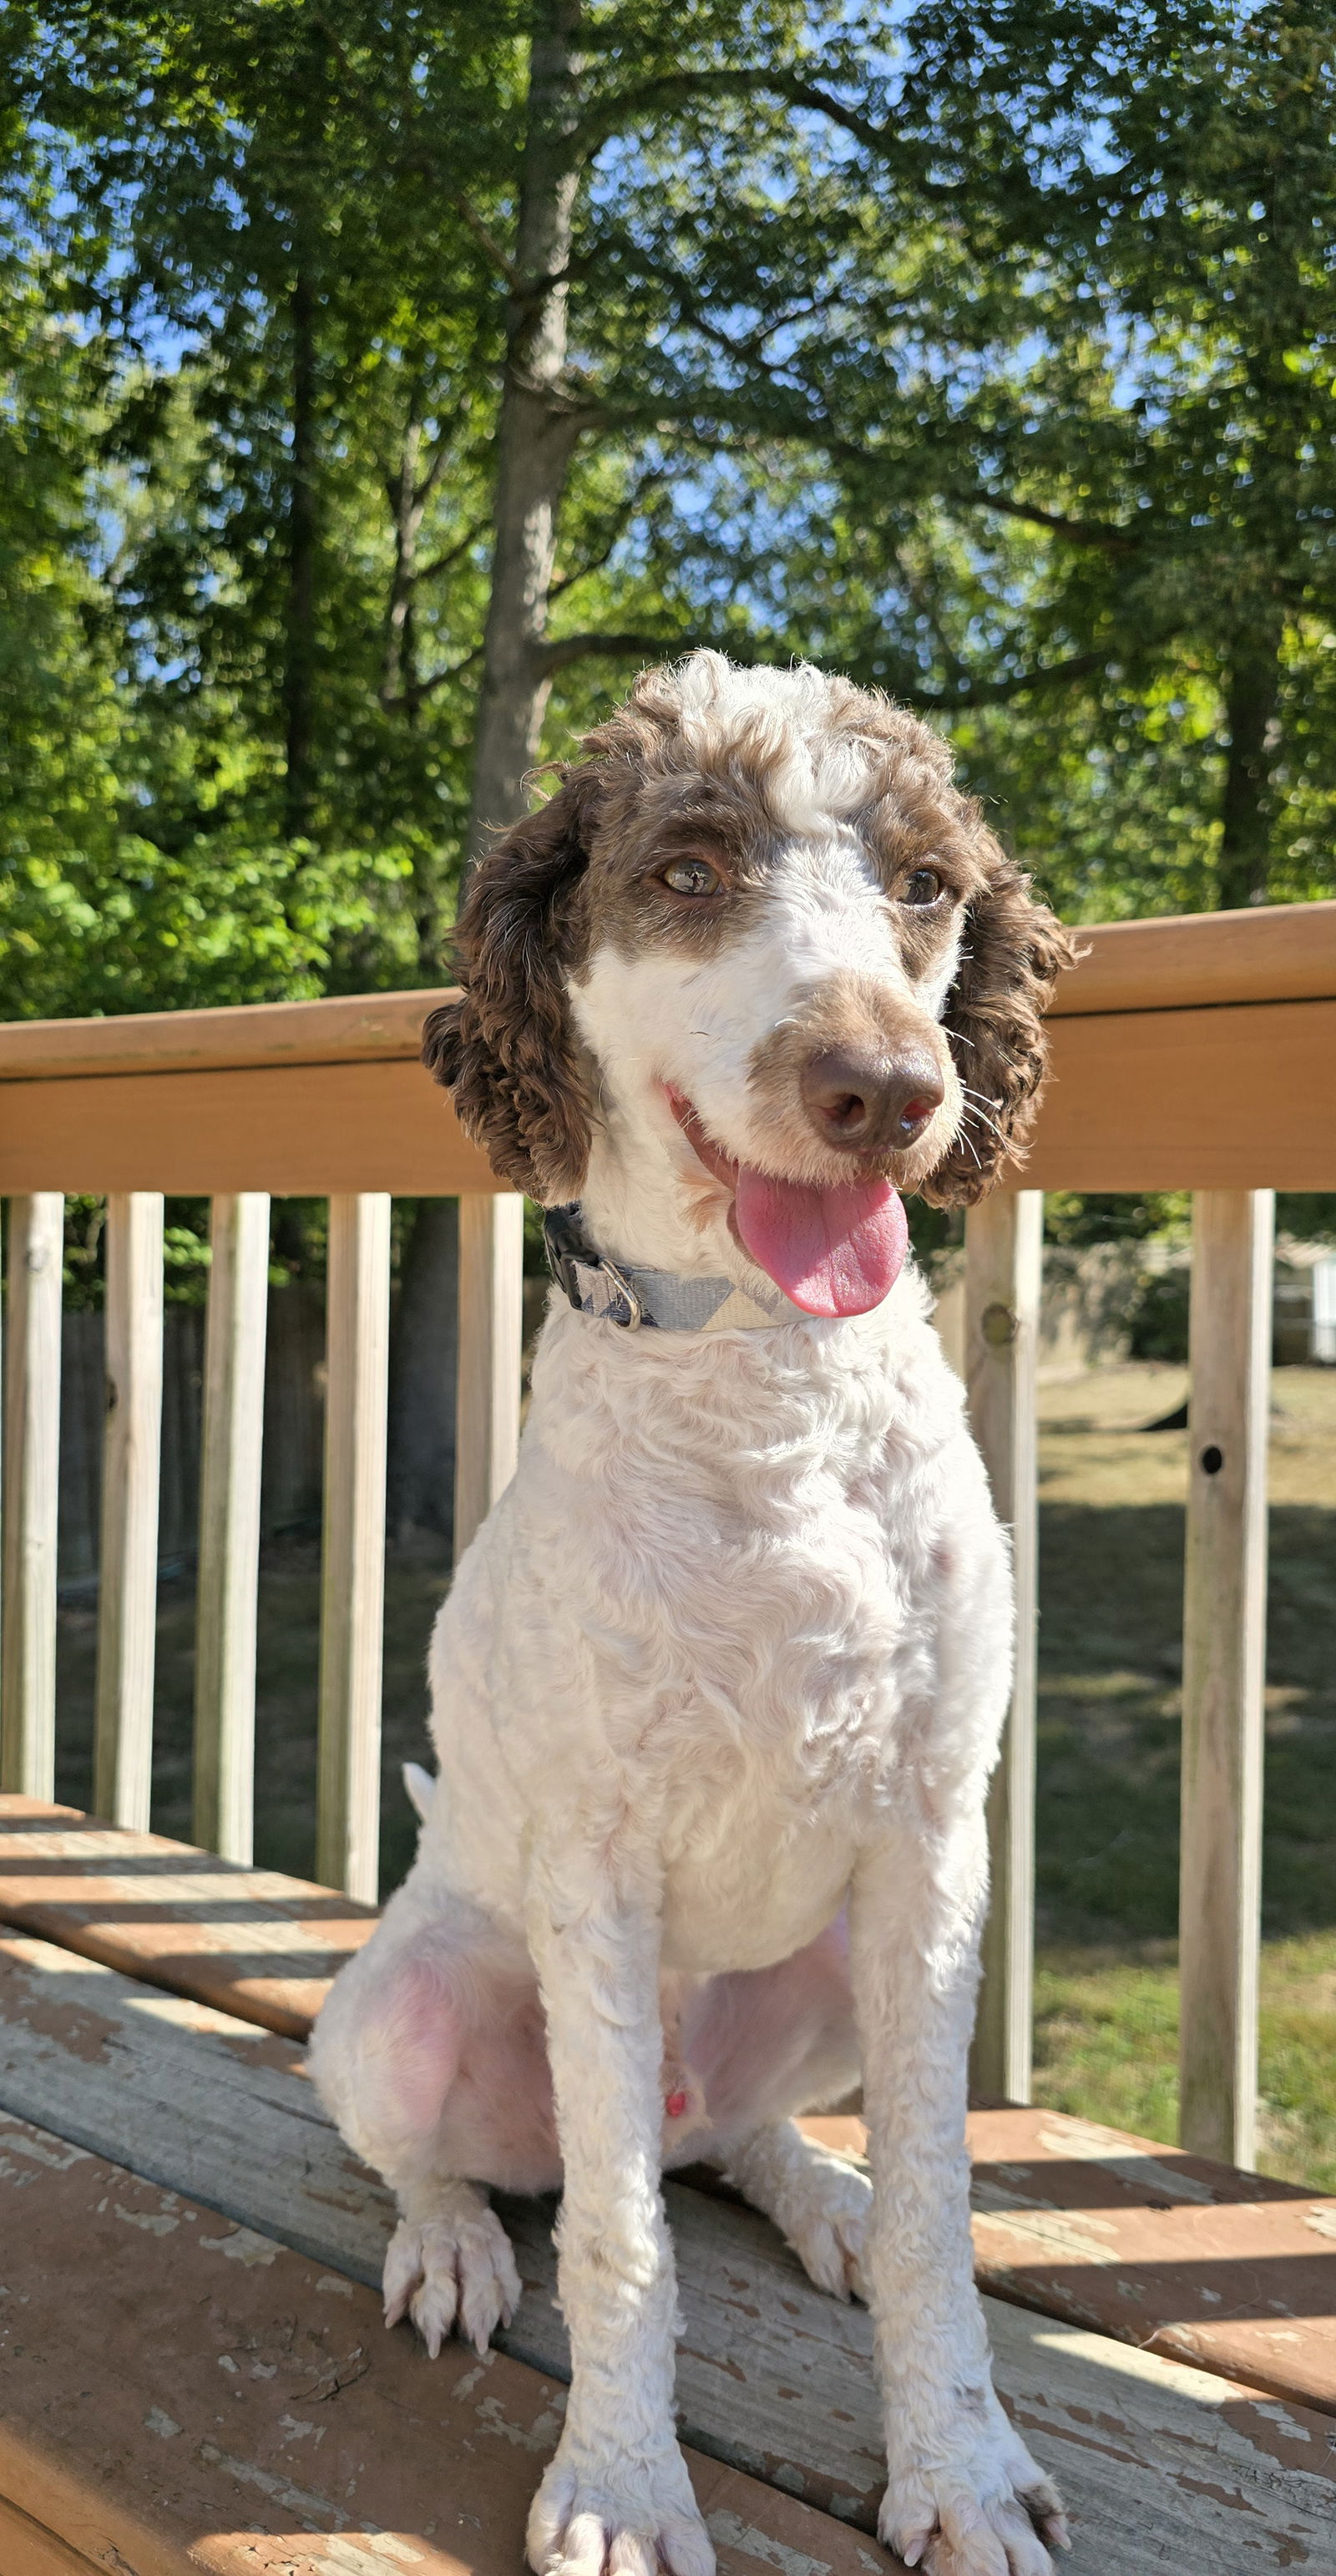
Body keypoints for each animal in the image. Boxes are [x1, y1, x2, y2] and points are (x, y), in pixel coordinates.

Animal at [311, 659, 1075, 2576]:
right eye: (686, 871)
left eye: (926, 885)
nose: (886, 1088)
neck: (761, 1375)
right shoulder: (596, 1875)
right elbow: (615, 2247)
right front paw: (621, 2484)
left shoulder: (934, 1846)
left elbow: (942, 2225)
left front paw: (957, 2468)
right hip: (402, 2015)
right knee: (493, 2160)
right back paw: (451, 2237)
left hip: (832, 1978)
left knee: (737, 2139)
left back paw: (818, 2191)